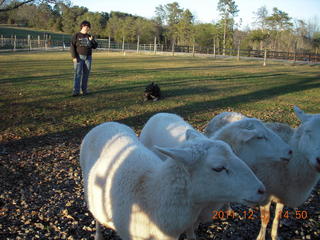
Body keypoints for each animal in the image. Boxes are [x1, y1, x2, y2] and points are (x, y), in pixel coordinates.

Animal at [255, 106, 320, 240]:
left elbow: (278, 216)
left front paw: (274, 236)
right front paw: (261, 237)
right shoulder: (265, 193)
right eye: (308, 131)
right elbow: (265, 218)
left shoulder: (283, 195)